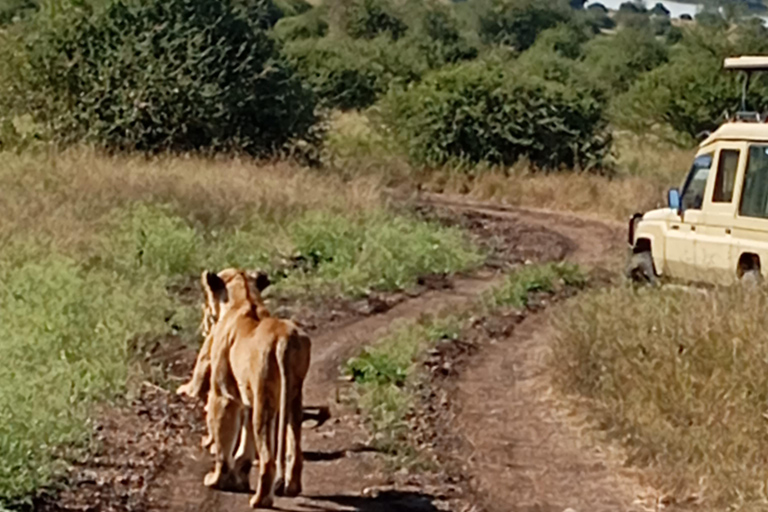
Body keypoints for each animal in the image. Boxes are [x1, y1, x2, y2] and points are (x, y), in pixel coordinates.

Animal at [198, 268, 312, 508]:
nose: (204, 324)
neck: (245, 298)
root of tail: (284, 339)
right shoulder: (246, 399)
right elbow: (245, 442)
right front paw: (239, 476)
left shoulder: (223, 395)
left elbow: (223, 443)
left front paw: (217, 480)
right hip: (293, 397)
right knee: (295, 447)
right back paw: (292, 487)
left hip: (264, 400)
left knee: (268, 458)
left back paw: (260, 500)